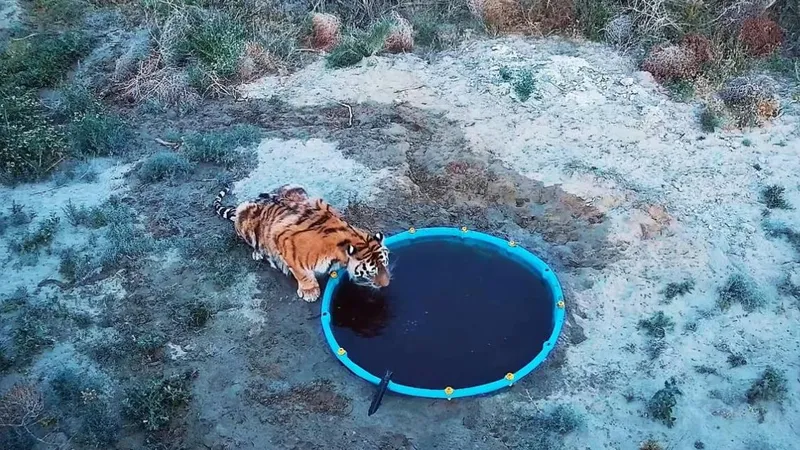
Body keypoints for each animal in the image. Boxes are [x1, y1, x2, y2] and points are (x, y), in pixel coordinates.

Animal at [213, 184, 391, 302]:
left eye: (385, 264)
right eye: (371, 272)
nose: (387, 284)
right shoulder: (284, 240)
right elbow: (301, 272)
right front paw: (310, 291)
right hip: (245, 214)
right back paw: (258, 253)